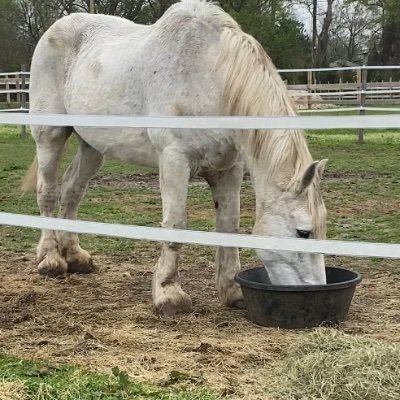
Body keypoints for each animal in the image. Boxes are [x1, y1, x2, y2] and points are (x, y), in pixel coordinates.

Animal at [22, 0, 328, 318]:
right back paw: (51, 259)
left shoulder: (229, 169)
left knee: (72, 190)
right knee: (48, 192)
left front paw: (233, 291)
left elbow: (228, 224)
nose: (315, 294)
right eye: (303, 233)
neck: (210, 76)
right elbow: (175, 225)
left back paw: (75, 257)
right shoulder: (174, 160)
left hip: (92, 147)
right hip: (50, 136)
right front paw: (168, 294)